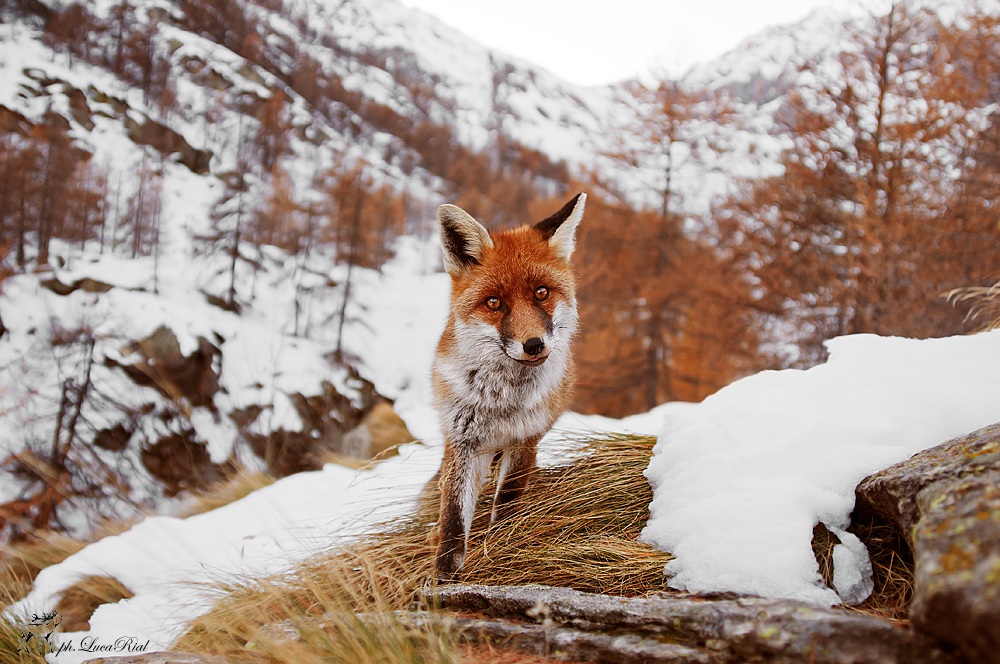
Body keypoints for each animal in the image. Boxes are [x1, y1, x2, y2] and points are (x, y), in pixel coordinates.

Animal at [431, 193, 586, 581]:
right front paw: (442, 579)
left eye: (541, 293)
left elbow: (506, 503)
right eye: (494, 303)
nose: (534, 345)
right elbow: (453, 518)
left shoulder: (525, 438)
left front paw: (497, 550)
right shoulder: (462, 441)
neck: (503, 402)